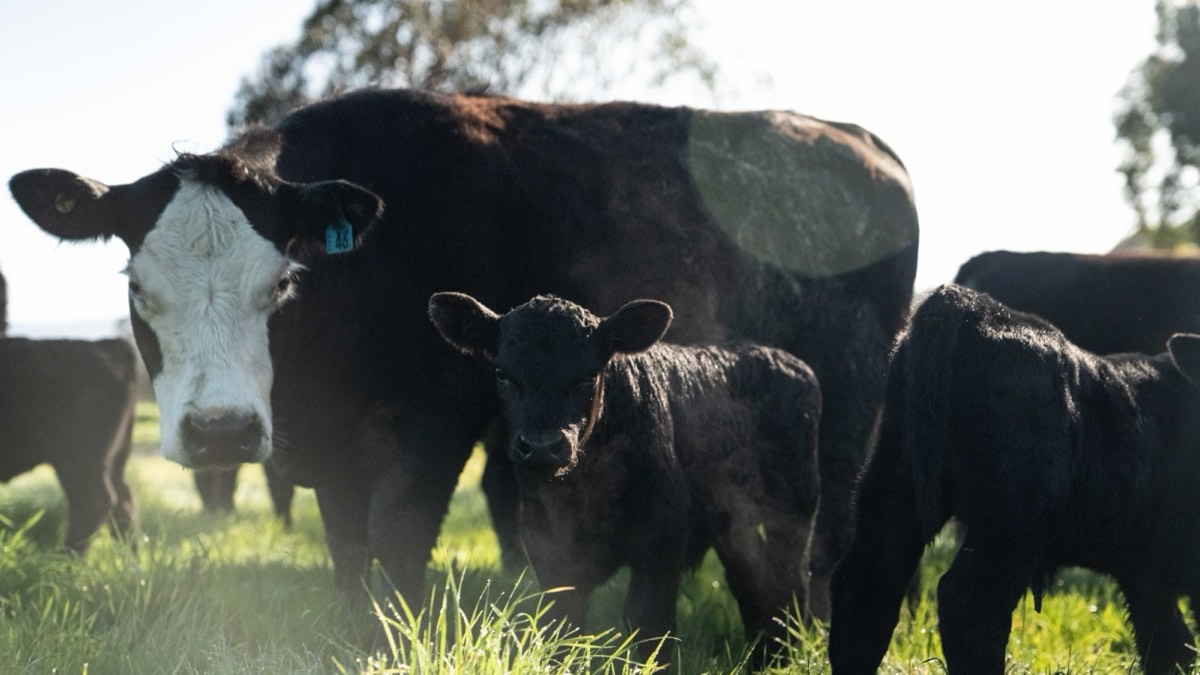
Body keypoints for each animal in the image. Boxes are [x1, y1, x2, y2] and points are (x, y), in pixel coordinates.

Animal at [0, 337, 138, 550]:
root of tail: (107, 343)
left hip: (77, 457)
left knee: (94, 500)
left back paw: (63, 557)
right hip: (115, 458)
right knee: (122, 501)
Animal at [428, 292, 821, 660]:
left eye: (590, 374)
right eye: (502, 374)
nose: (541, 446)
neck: (580, 493)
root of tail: (784, 359)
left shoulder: (662, 535)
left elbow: (648, 622)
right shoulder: (547, 545)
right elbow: (562, 623)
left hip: (794, 509)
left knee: (789, 583)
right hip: (735, 522)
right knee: (752, 579)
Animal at [829, 284, 1200, 675]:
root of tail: (971, 304)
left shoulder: (1146, 575)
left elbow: (1169, 645)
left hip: (893, 483)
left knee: (866, 586)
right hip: (1016, 522)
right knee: (969, 603)